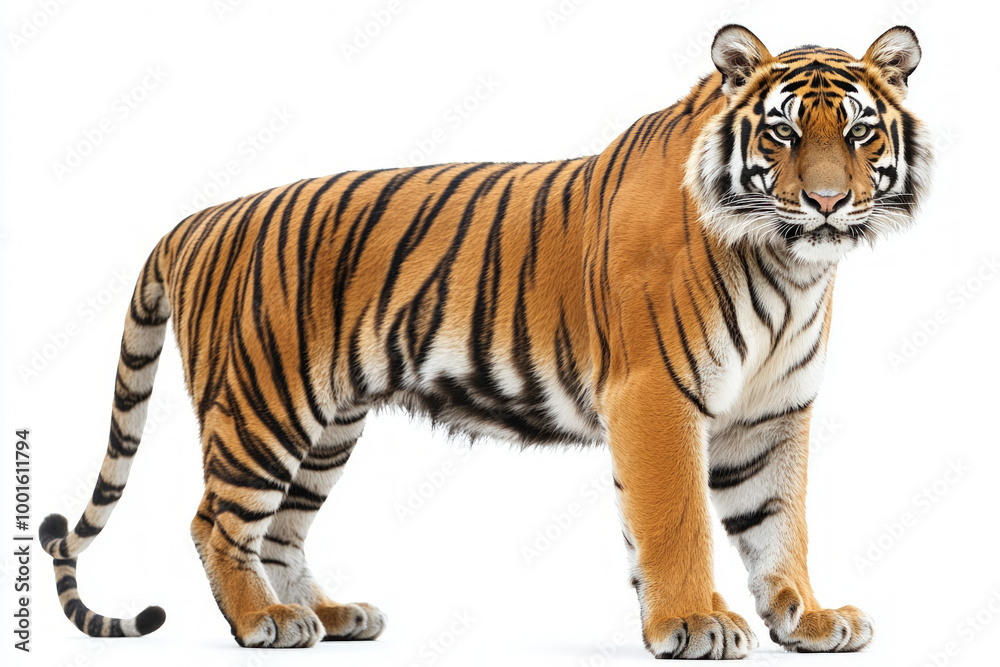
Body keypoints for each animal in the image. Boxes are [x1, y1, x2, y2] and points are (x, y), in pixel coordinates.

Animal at [39, 24, 931, 658]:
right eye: (783, 134)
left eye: (859, 134)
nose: (825, 203)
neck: (790, 266)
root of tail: (196, 218)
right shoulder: (656, 394)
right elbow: (676, 520)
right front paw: (691, 622)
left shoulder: (771, 411)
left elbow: (779, 520)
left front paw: (806, 617)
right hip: (263, 408)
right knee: (215, 521)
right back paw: (263, 620)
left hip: (327, 426)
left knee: (283, 530)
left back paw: (323, 612)